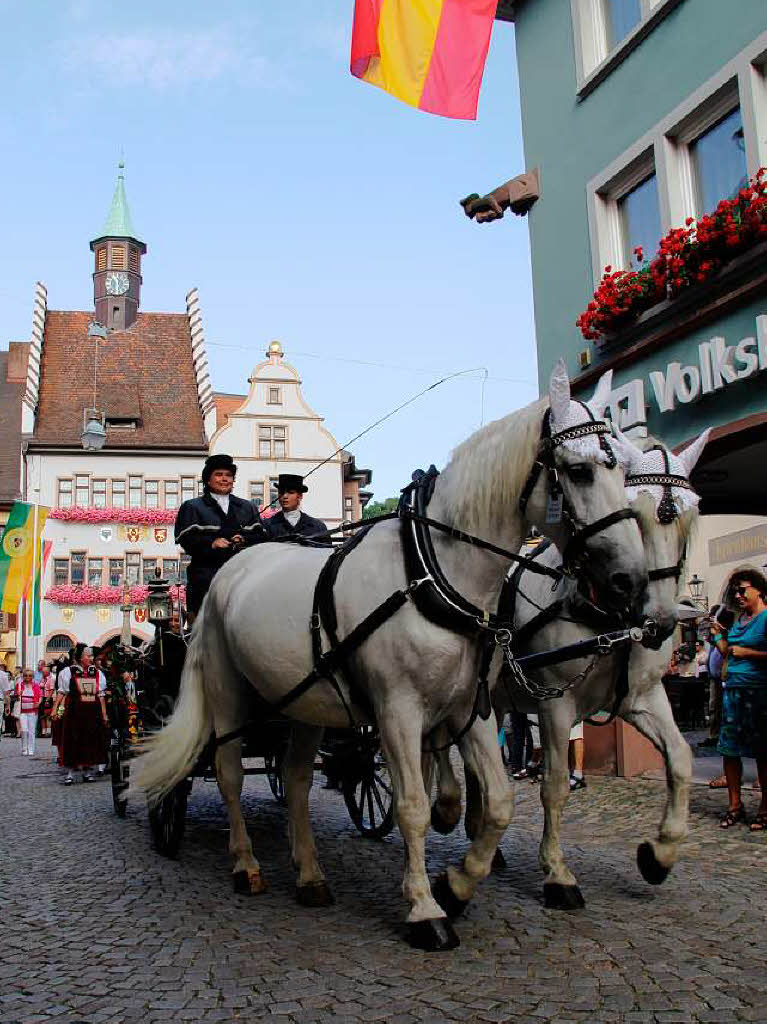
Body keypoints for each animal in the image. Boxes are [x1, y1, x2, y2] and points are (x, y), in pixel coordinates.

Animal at [132, 362, 647, 950]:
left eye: (623, 469)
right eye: (579, 471)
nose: (630, 580)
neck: (434, 571)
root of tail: (235, 565)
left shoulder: (471, 709)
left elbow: (497, 802)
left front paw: (457, 884)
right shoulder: (398, 711)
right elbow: (413, 807)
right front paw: (425, 908)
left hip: (303, 703)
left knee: (297, 779)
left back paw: (310, 874)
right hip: (228, 696)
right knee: (229, 774)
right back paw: (245, 865)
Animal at [428, 423, 708, 913]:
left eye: (688, 519)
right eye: (634, 516)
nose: (659, 622)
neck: (605, 614)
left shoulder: (643, 698)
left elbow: (680, 759)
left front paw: (660, 853)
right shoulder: (556, 704)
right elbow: (555, 783)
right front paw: (557, 874)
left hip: (495, 699)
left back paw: (482, 837)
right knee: (445, 743)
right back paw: (447, 807)